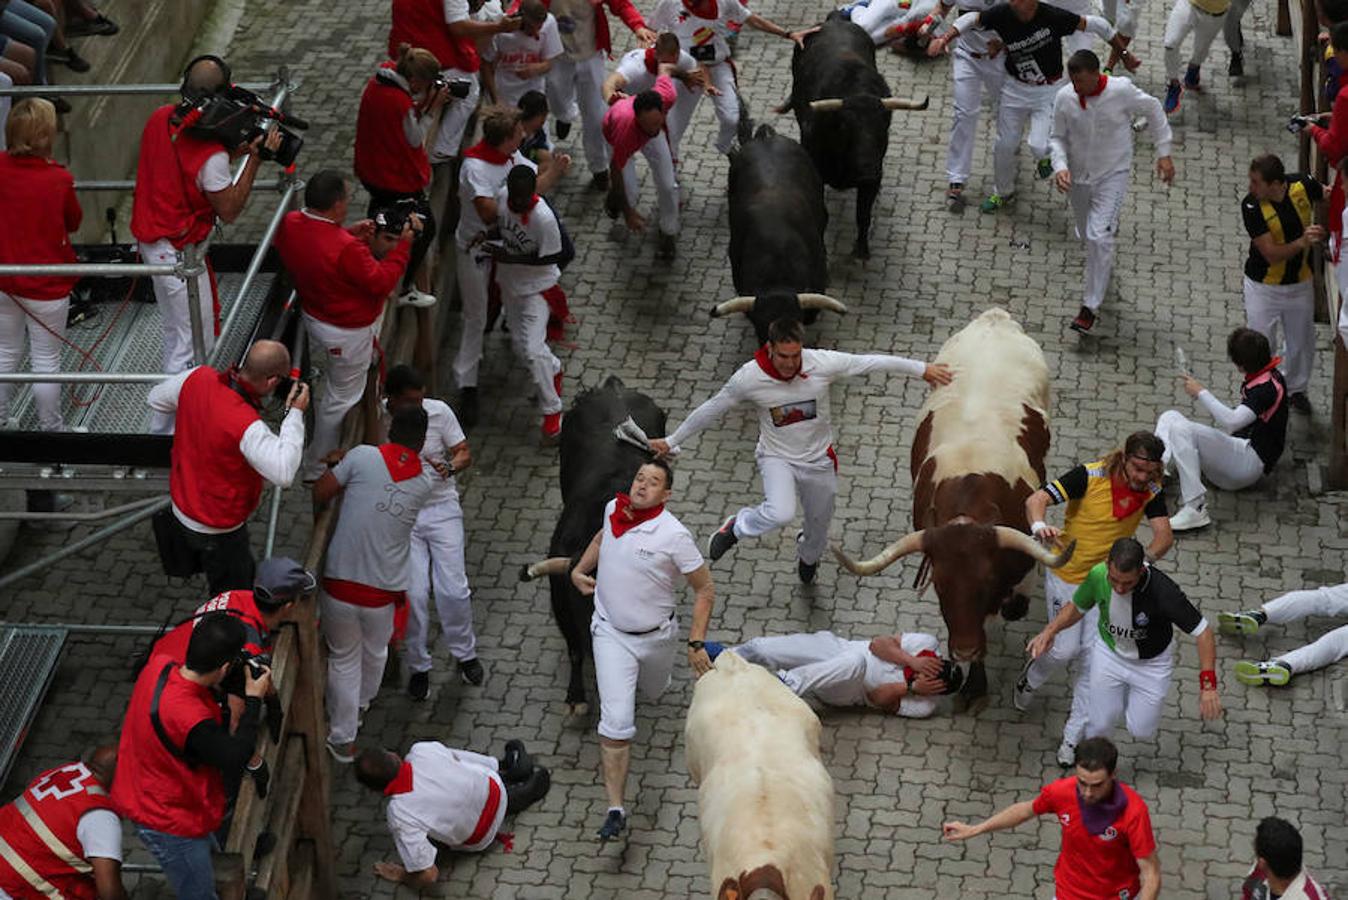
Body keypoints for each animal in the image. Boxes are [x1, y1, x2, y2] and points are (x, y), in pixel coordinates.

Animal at [517, 377, 665, 711]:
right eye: (582, 599)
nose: (595, 639)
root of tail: (612, 387)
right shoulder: (561, 597)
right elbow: (573, 649)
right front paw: (576, 696)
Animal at [787, 16, 922, 260]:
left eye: (883, 126)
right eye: (846, 127)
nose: (868, 169)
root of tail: (835, 19)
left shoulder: (872, 182)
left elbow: (863, 215)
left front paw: (861, 250)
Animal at [830, 307, 1073, 711]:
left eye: (985, 583)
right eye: (941, 587)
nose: (963, 650)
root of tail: (995, 317)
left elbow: (1010, 606)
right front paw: (975, 680)